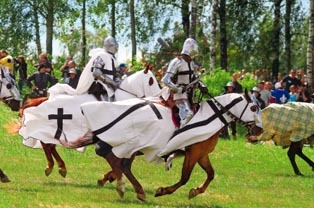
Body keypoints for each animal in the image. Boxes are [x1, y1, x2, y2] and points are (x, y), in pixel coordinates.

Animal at [11, 67, 161, 178]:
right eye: (151, 81)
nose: (160, 97)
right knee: (47, 144)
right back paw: (55, 167)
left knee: (48, 145)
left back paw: (57, 167)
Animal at [61, 90, 262, 200]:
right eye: (253, 107)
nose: (259, 130)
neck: (213, 116)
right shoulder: (193, 153)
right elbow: (185, 178)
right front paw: (163, 190)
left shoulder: (202, 154)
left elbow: (211, 174)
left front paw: (196, 191)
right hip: (133, 144)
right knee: (114, 158)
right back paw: (129, 188)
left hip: (132, 147)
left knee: (118, 162)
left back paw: (126, 186)